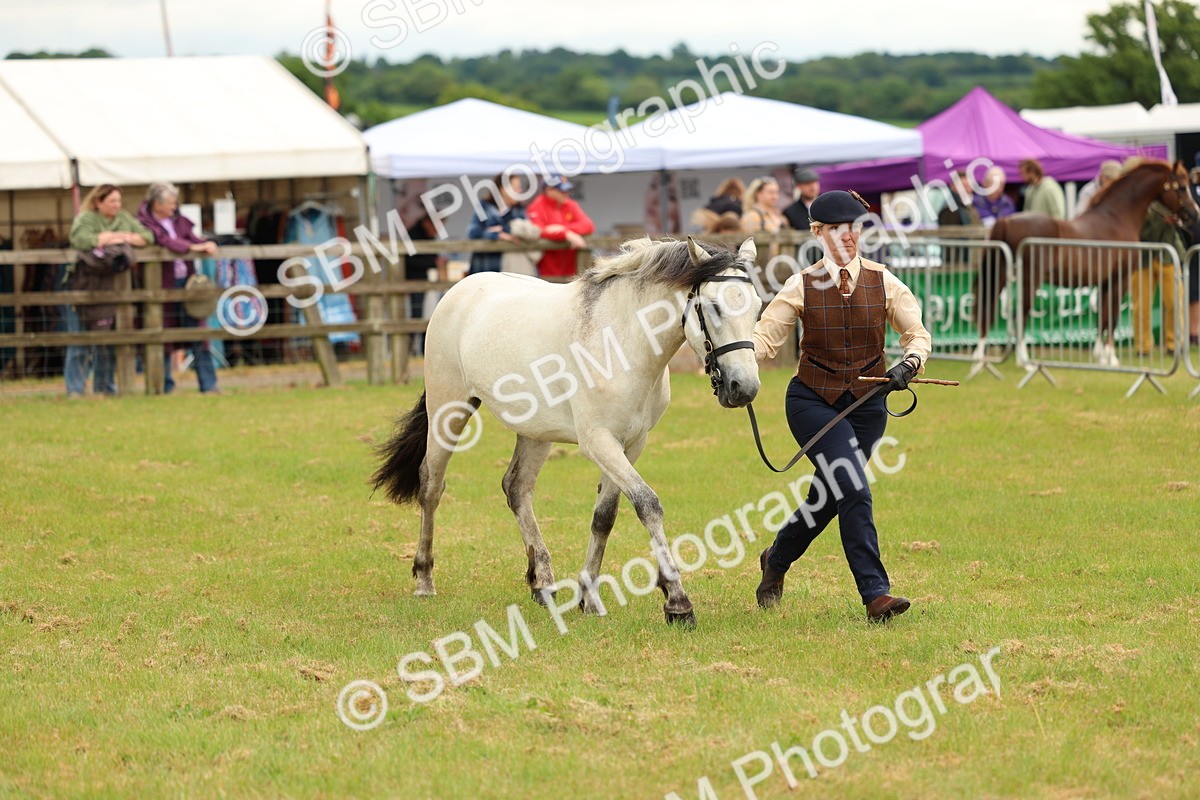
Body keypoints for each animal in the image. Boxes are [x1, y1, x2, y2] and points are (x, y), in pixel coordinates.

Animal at [371, 237, 762, 626]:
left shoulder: (631, 444)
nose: (744, 388)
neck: (620, 343)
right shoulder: (599, 442)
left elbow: (604, 517)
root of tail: (459, 290)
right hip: (448, 411)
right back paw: (424, 580)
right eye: (713, 308)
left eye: (758, 308)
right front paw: (678, 602)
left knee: (517, 488)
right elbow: (647, 504)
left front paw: (589, 597)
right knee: (431, 486)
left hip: (535, 432)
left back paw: (542, 584)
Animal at [971, 160, 1199, 370]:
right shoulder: (1120, 280)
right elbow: (1112, 317)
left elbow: (1102, 318)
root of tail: (1006, 221)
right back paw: (1024, 362)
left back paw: (979, 359)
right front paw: (1111, 358)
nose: (1193, 214)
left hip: (1000, 275)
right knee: (1019, 316)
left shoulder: (1105, 282)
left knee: (988, 311)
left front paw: (1099, 356)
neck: (1117, 218)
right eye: (1181, 186)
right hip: (1029, 281)